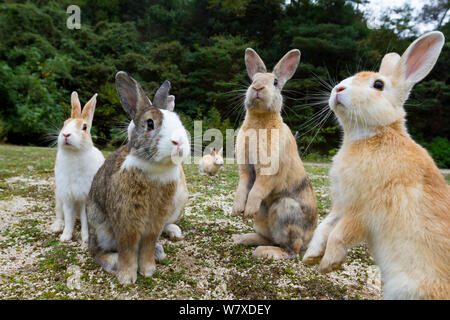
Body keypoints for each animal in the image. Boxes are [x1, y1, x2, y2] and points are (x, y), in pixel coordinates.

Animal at [50, 91, 104, 246]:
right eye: (65, 123)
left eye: (84, 127)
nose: (66, 134)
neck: (73, 153)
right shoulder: (67, 197)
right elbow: (69, 218)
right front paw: (65, 236)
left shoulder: (85, 199)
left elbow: (85, 221)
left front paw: (85, 238)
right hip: (58, 196)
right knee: (60, 214)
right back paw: (57, 226)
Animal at [230, 48, 318, 262]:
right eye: (253, 79)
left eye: (276, 82)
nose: (257, 87)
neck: (260, 120)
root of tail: (308, 239)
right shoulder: (246, 170)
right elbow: (242, 187)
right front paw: (238, 210)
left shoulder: (269, 171)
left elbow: (258, 189)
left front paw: (248, 210)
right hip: (263, 221)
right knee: (267, 237)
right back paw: (242, 239)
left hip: (285, 210)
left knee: (291, 249)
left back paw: (265, 252)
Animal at [302, 31, 450, 298]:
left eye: (378, 85)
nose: (338, 88)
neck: (373, 134)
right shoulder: (342, 204)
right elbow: (324, 228)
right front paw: (311, 257)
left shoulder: (363, 209)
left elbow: (339, 234)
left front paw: (329, 264)